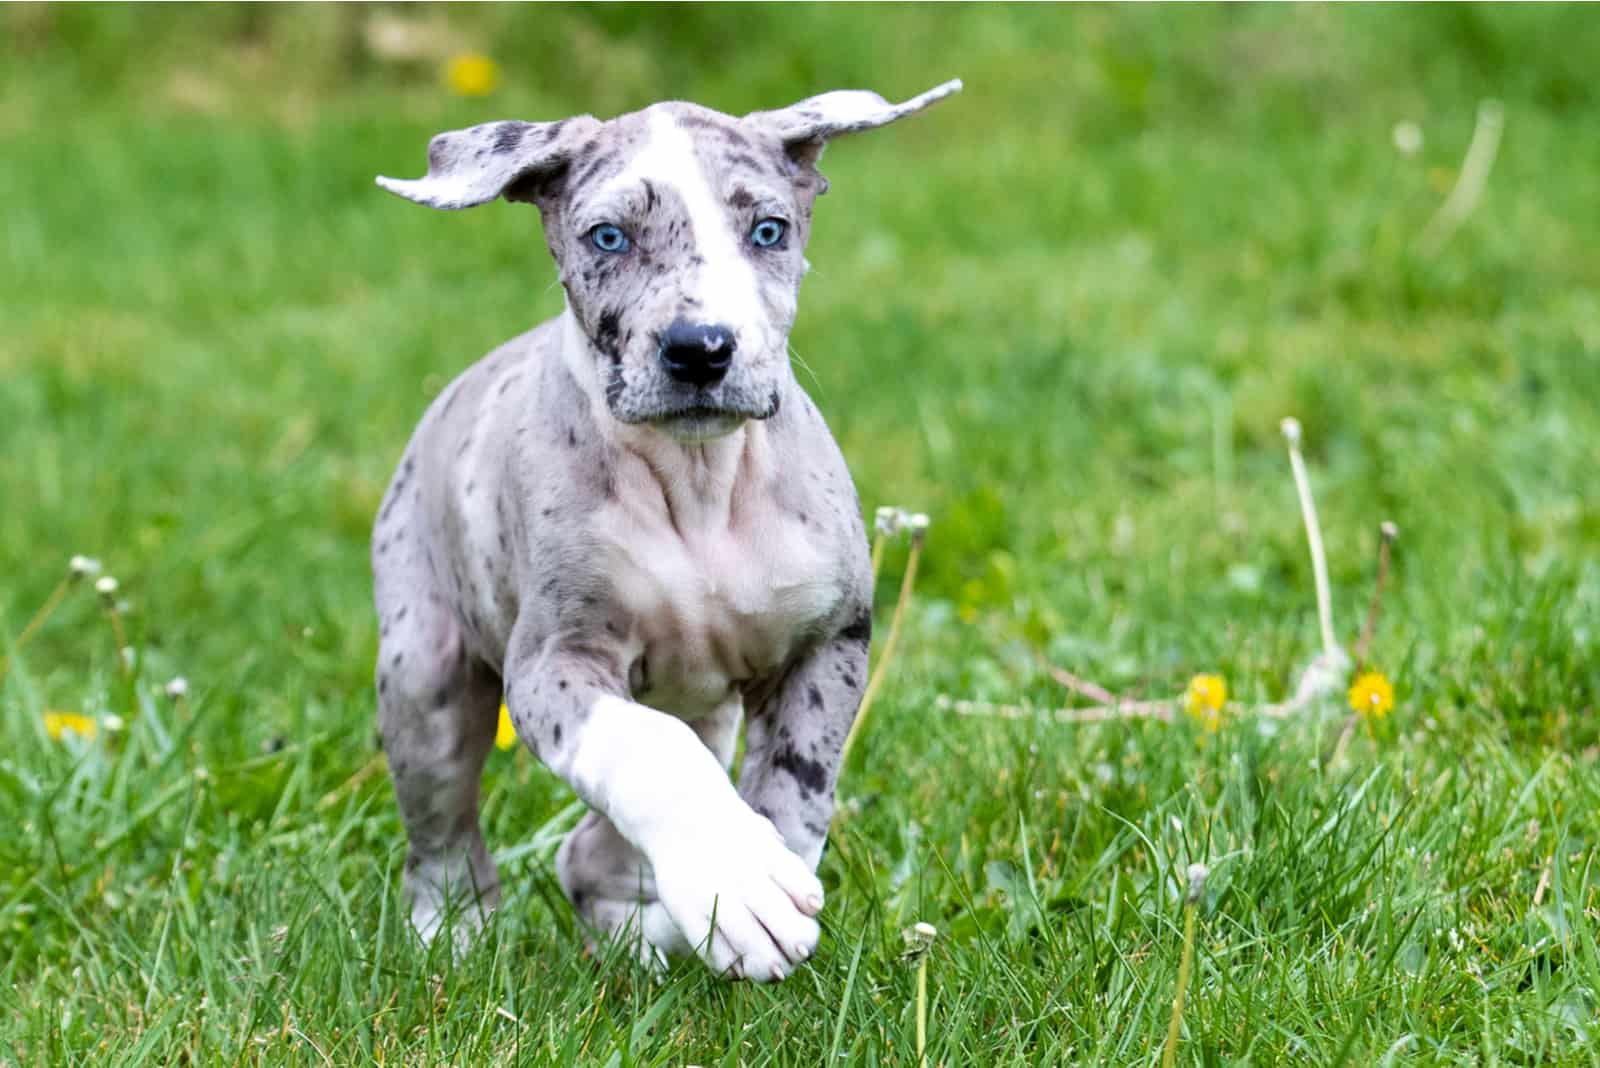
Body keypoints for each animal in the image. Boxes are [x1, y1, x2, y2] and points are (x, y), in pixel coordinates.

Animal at [368, 79, 953, 978]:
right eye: (608, 237)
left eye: (769, 230)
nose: (700, 349)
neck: (698, 481)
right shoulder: (553, 662)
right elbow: (648, 755)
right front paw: (735, 880)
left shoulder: (829, 644)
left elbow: (796, 794)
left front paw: (748, 891)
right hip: (423, 674)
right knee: (442, 835)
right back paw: (454, 937)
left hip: (701, 707)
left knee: (591, 855)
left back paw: (649, 941)